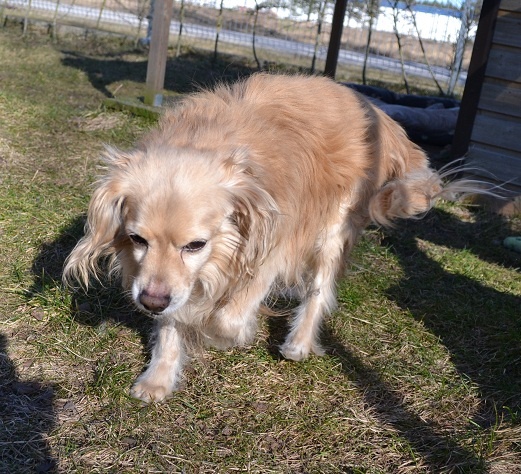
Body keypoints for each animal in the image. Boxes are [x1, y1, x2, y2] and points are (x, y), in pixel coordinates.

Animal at [63, 73, 477, 403]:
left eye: (196, 245)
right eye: (137, 239)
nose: (150, 302)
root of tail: (373, 108)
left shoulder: (265, 252)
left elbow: (225, 320)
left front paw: (225, 332)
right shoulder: (171, 282)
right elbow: (172, 319)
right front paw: (159, 378)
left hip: (333, 228)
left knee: (319, 289)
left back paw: (298, 342)